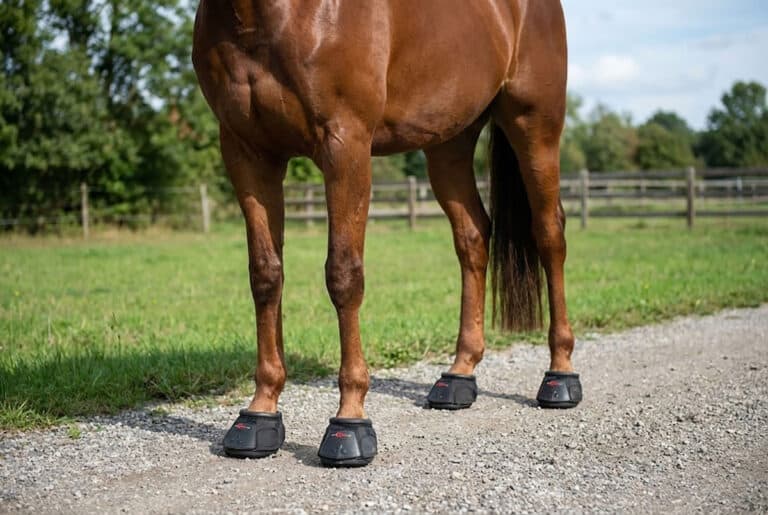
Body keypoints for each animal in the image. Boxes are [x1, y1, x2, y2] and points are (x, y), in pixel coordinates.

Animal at [192, 0, 582, 467]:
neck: (262, 17)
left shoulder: (345, 144)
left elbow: (343, 275)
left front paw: (349, 421)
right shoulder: (247, 151)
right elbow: (266, 275)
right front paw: (259, 414)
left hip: (534, 125)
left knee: (549, 235)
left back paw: (560, 376)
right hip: (448, 142)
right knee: (472, 237)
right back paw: (458, 376)